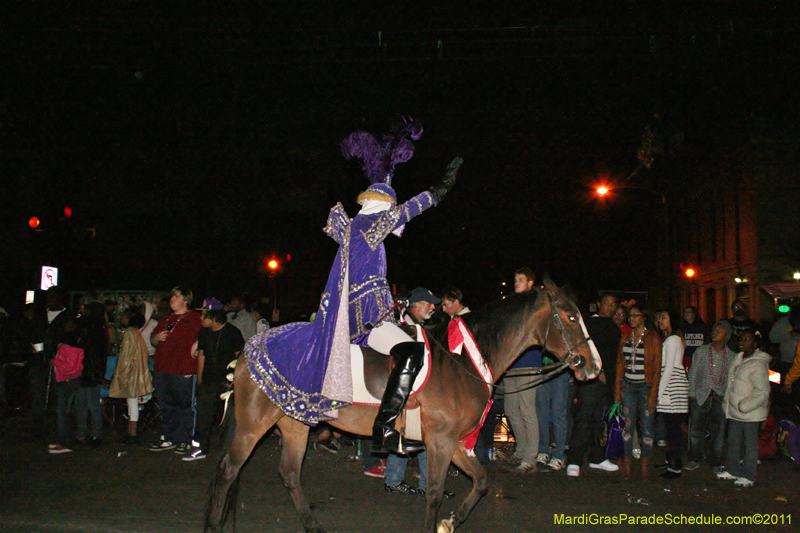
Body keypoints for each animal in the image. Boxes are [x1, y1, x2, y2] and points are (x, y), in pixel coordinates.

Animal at [206, 278, 600, 532]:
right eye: (570, 317)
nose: (593, 366)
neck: (463, 361)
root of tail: (251, 348)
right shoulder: (440, 441)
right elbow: (435, 493)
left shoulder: (454, 442)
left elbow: (482, 482)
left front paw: (450, 522)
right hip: (254, 423)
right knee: (227, 470)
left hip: (295, 421)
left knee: (288, 473)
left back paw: (314, 526)